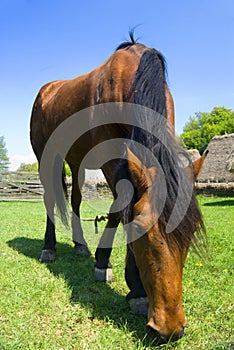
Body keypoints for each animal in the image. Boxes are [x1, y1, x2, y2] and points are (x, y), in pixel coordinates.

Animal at [29, 34, 207, 346]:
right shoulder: (111, 156)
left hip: (76, 161)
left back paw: (80, 245)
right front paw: (129, 285)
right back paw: (48, 248)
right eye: (139, 231)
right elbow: (122, 204)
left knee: (75, 200)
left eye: (191, 233)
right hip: (46, 157)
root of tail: (47, 90)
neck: (131, 79)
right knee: (50, 199)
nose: (171, 329)